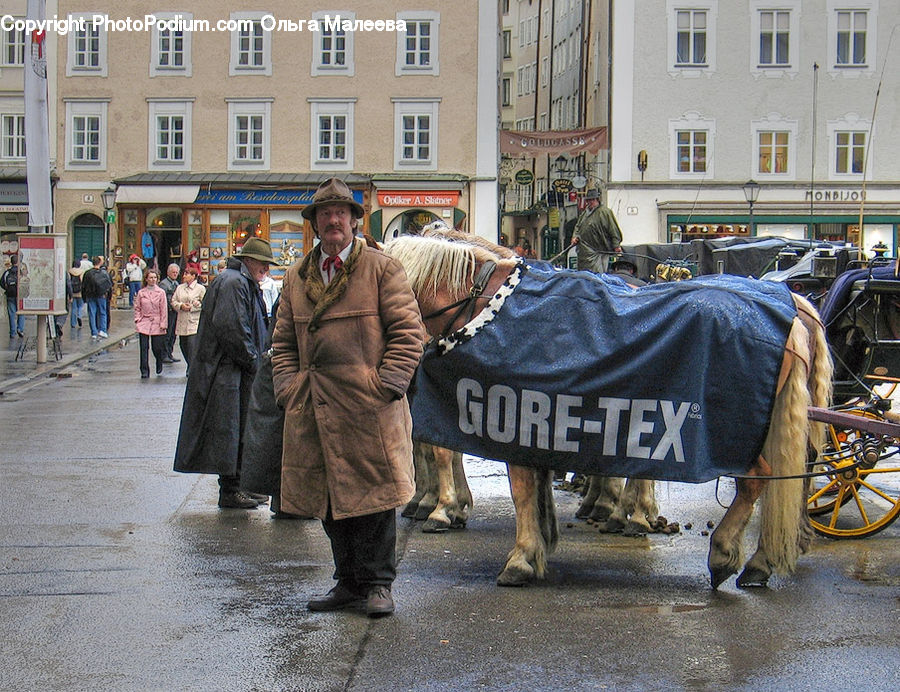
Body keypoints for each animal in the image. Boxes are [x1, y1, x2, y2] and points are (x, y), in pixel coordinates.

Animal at [384, 234, 832, 588]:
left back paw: (724, 552)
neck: (489, 306)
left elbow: (513, 485)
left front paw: (517, 554)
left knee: (756, 480)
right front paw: (539, 541)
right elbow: (528, 483)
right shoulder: (535, 420)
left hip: (736, 434)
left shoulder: (510, 416)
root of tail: (793, 308)